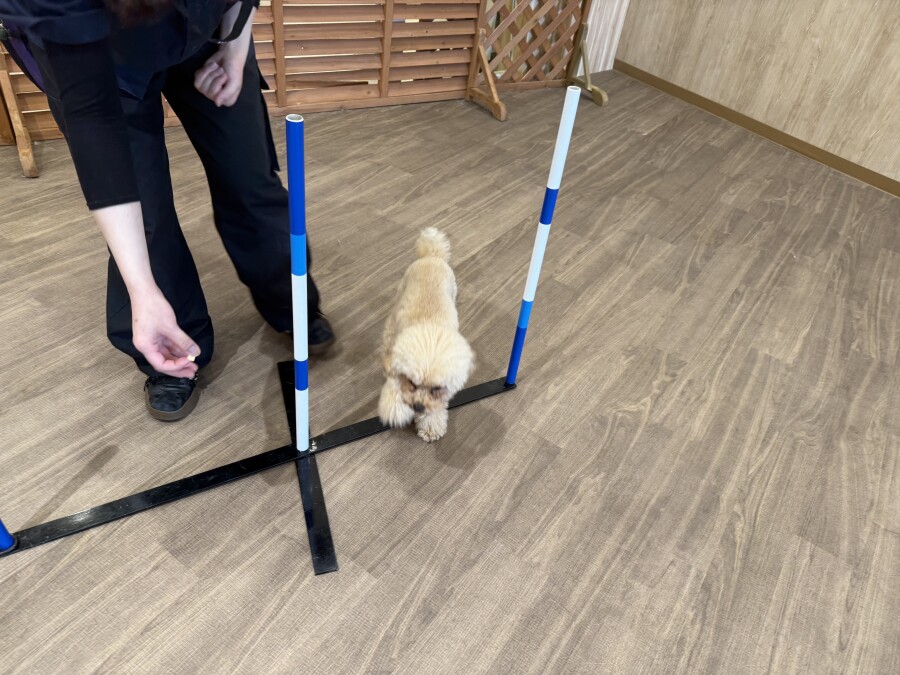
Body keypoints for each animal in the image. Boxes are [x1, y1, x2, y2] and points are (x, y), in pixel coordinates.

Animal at [378, 228, 475, 442]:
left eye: (437, 389)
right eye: (412, 383)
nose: (418, 407)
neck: (429, 326)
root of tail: (432, 255)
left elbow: (436, 409)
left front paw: (430, 426)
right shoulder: (397, 357)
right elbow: (393, 386)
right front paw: (395, 409)